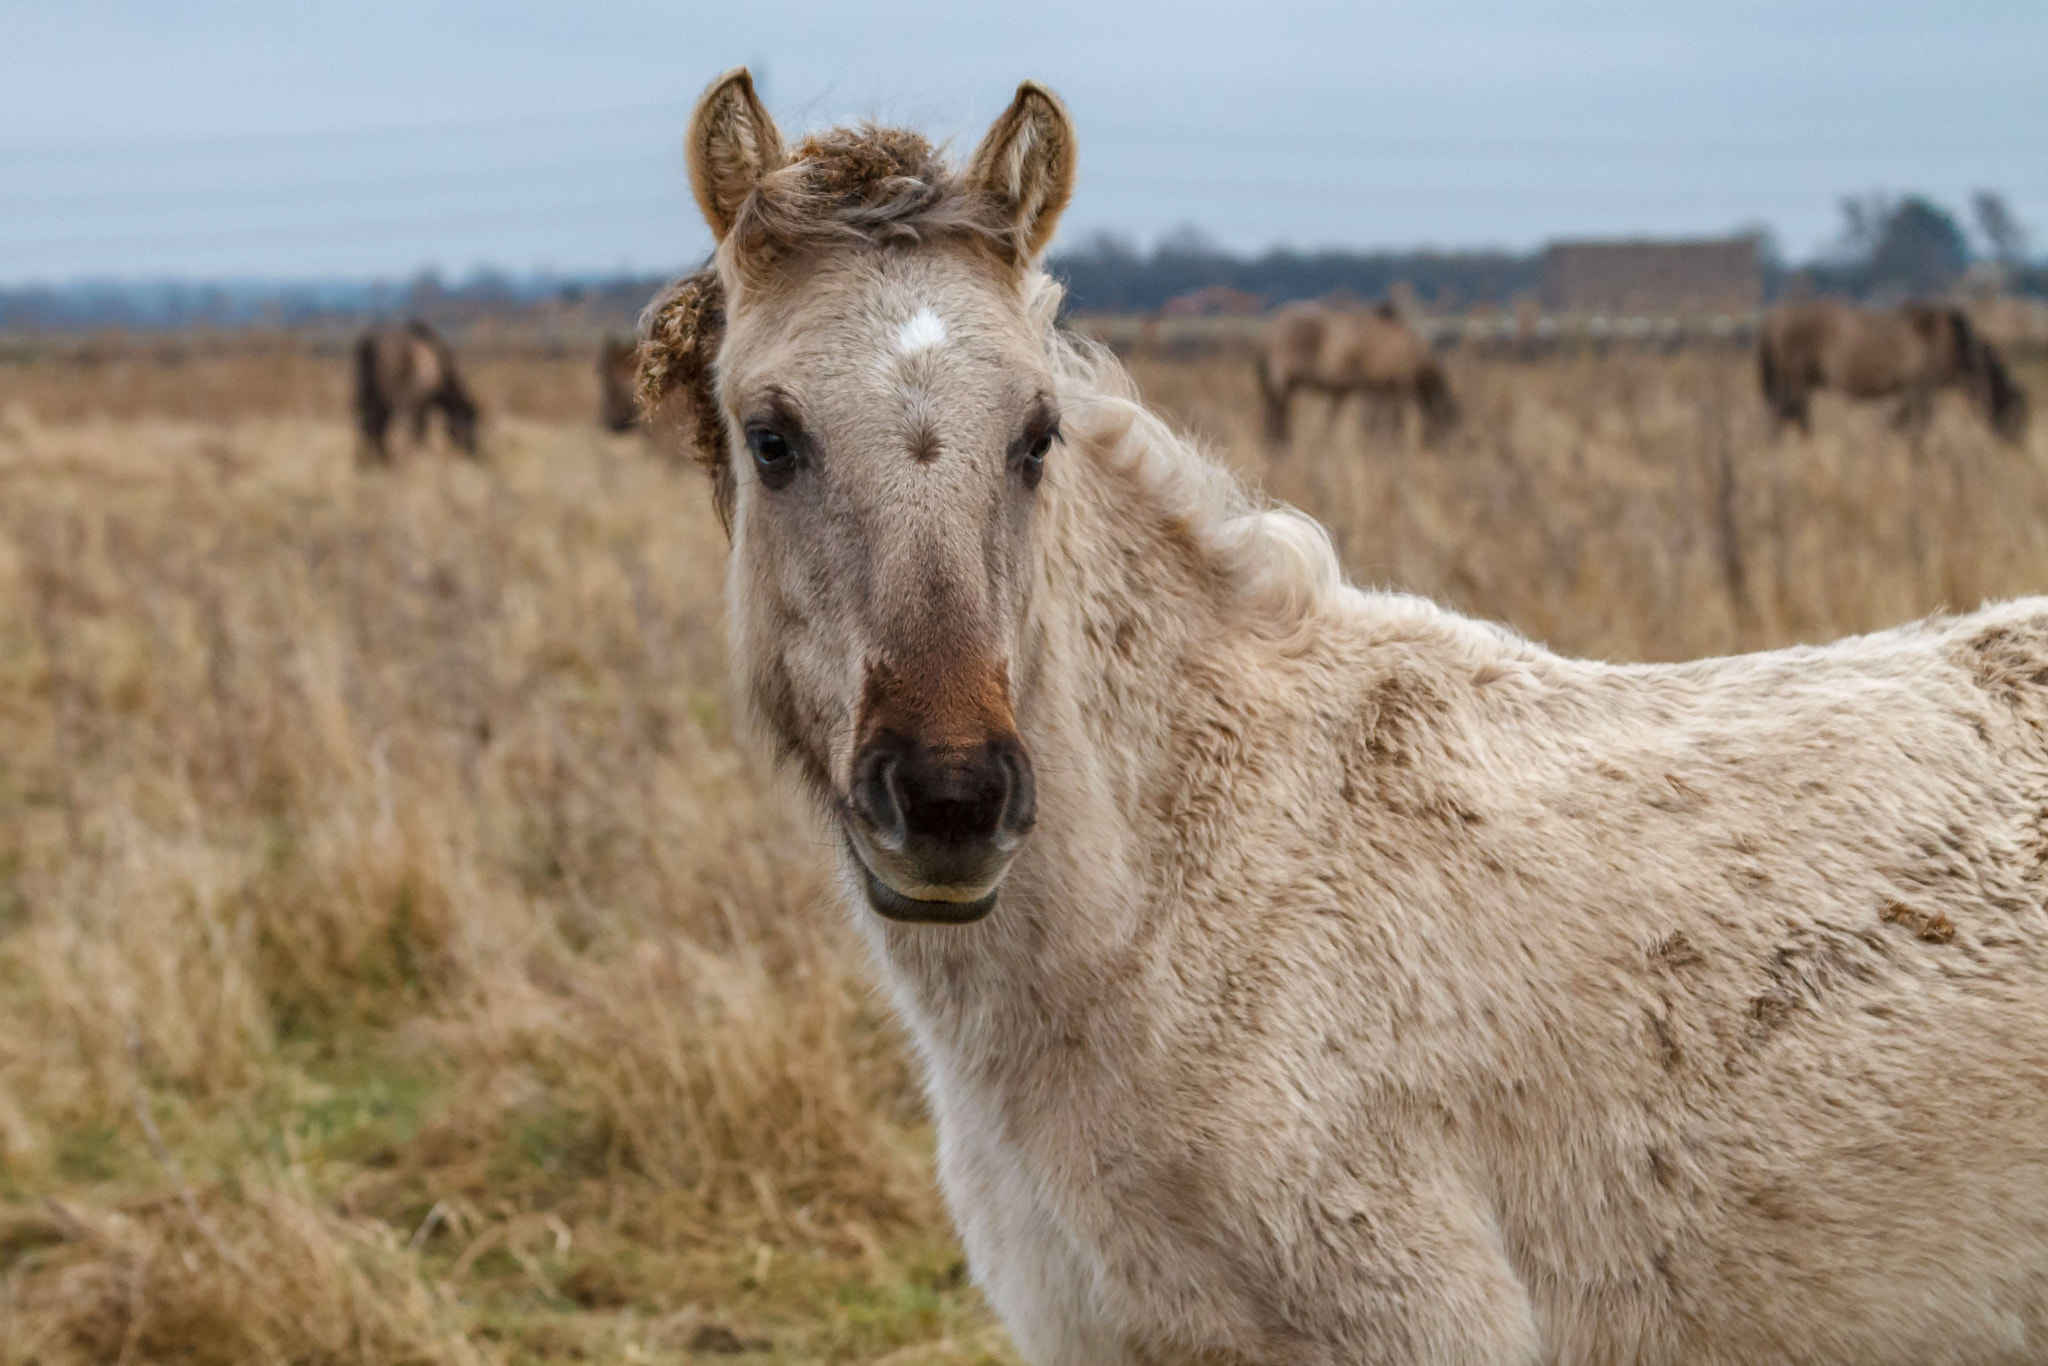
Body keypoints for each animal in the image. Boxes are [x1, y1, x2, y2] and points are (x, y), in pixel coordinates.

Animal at [351, 320, 480, 462]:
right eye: (468, 422)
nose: (474, 450)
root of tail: (369, 344)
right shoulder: (422, 404)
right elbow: (420, 430)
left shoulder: (415, 405)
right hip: (389, 401)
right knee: (380, 426)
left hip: (367, 397)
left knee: (368, 426)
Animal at [1256, 298, 1458, 447]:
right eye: (1449, 419)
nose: (1447, 447)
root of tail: (1270, 330)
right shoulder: (1391, 389)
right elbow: (1388, 422)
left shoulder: (1370, 390)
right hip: (1281, 383)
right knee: (1276, 413)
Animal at [1759, 298, 2029, 442]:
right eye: (2015, 415)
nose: (2016, 446)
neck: (1956, 342)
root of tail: (1775, 319)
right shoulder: (1919, 391)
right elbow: (1913, 429)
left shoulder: (1909, 393)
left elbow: (1896, 427)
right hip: (1796, 383)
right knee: (1788, 416)